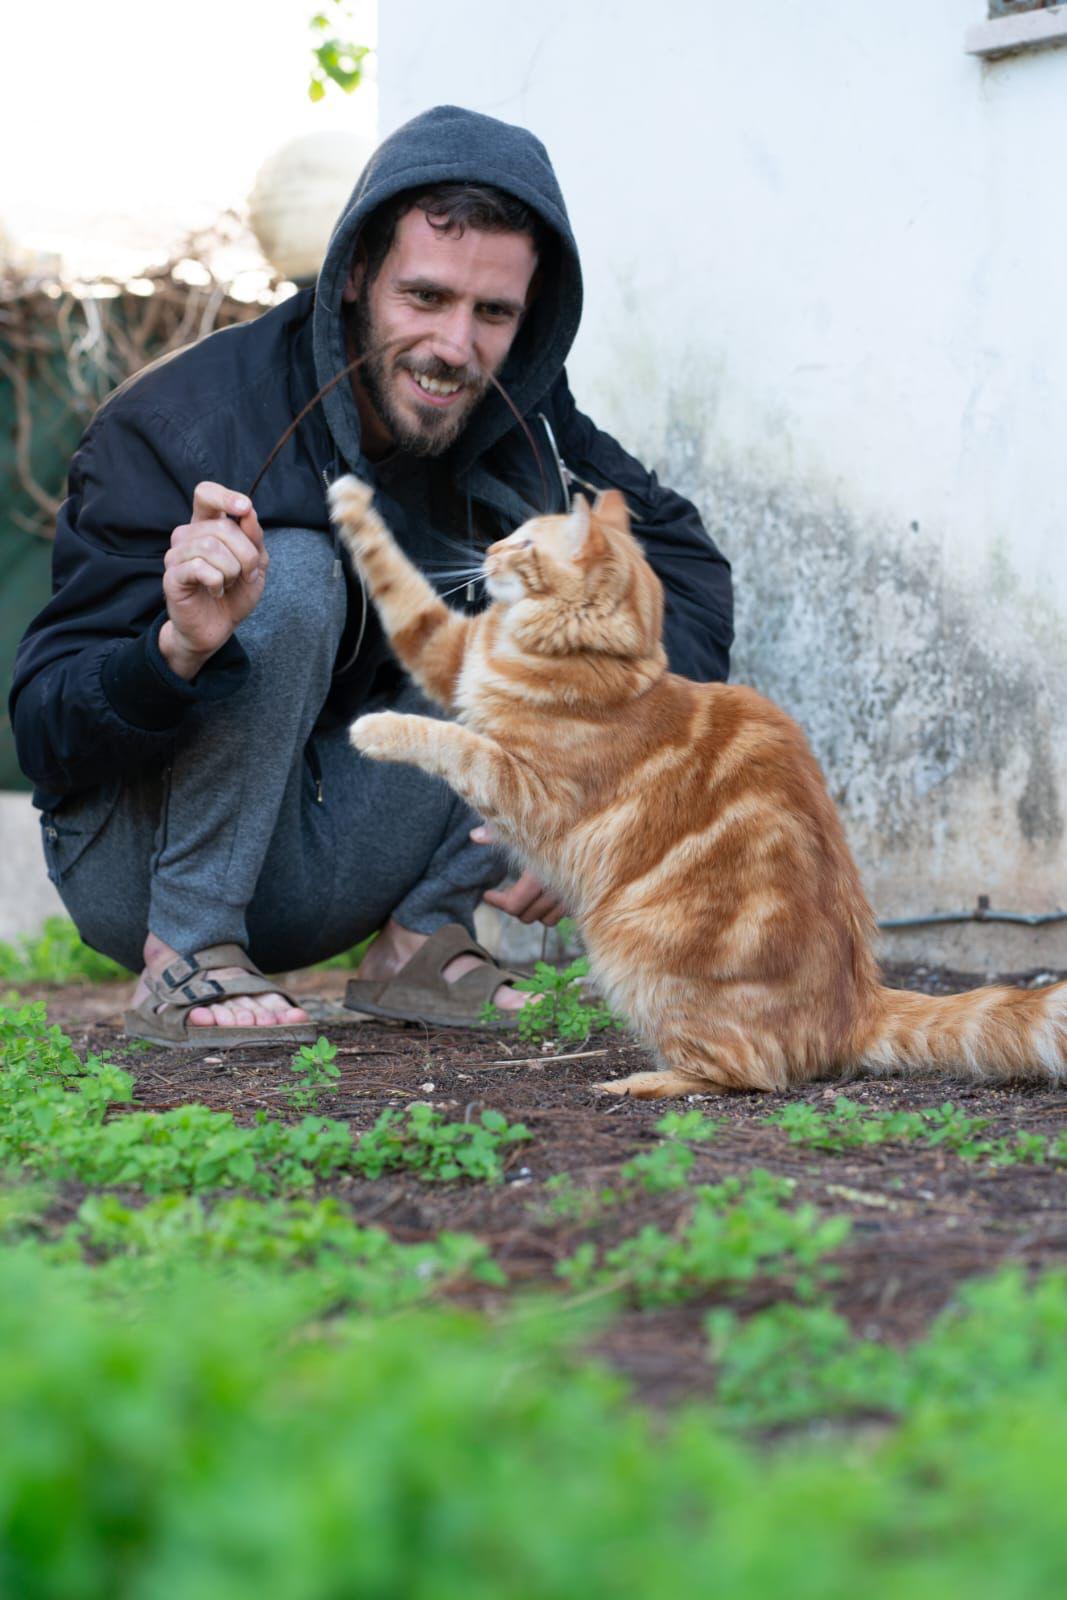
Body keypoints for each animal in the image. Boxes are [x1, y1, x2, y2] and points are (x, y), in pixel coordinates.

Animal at [329, 470, 1062, 1100]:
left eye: (527, 543)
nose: (488, 549)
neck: (599, 660)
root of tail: (857, 1005)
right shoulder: (448, 651)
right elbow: (399, 584)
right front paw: (350, 502)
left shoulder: (525, 787)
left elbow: (453, 739)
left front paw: (375, 727)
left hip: (634, 957)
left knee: (749, 1075)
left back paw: (642, 1081)